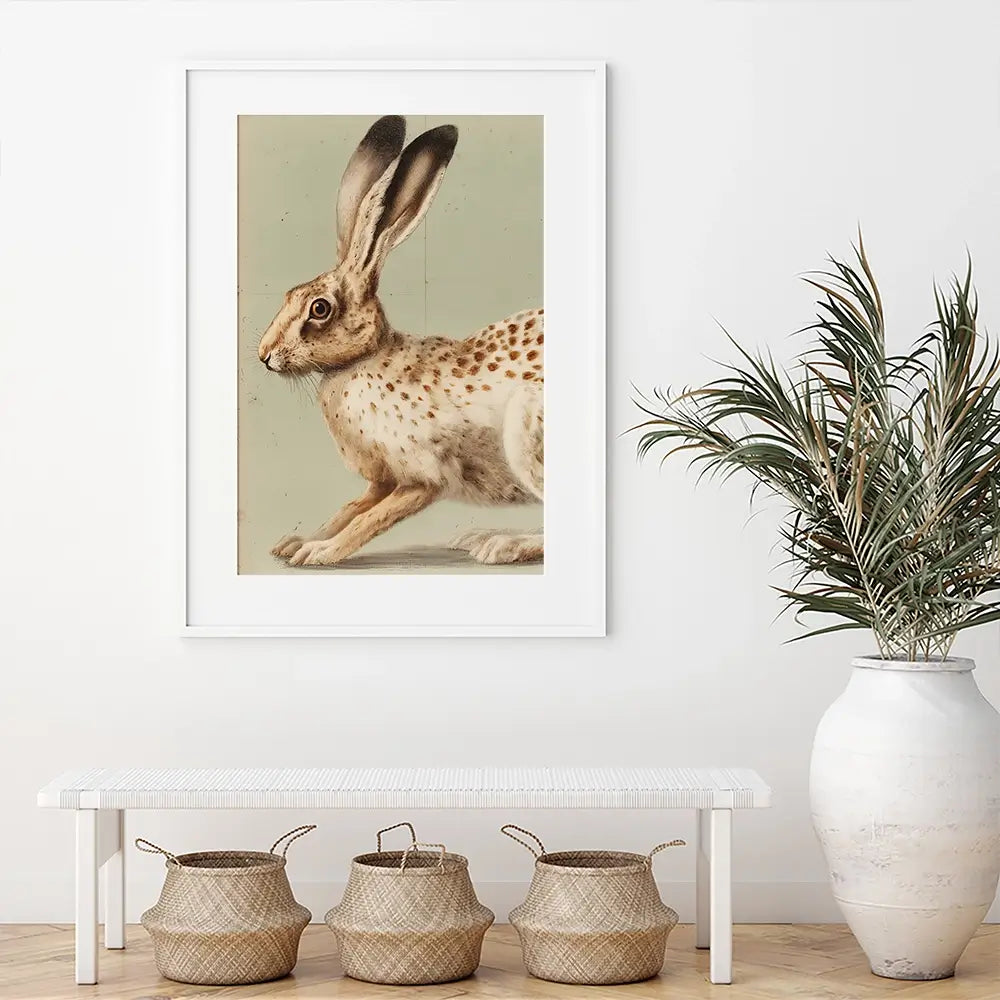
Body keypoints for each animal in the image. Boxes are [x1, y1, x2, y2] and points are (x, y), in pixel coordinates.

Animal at [256, 115, 544, 567]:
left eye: (319, 309)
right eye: (289, 295)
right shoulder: (381, 481)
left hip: (528, 434)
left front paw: (320, 552)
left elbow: (367, 521)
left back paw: (501, 544)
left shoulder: (422, 478)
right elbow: (350, 509)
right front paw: (296, 543)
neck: (363, 361)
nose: (264, 355)